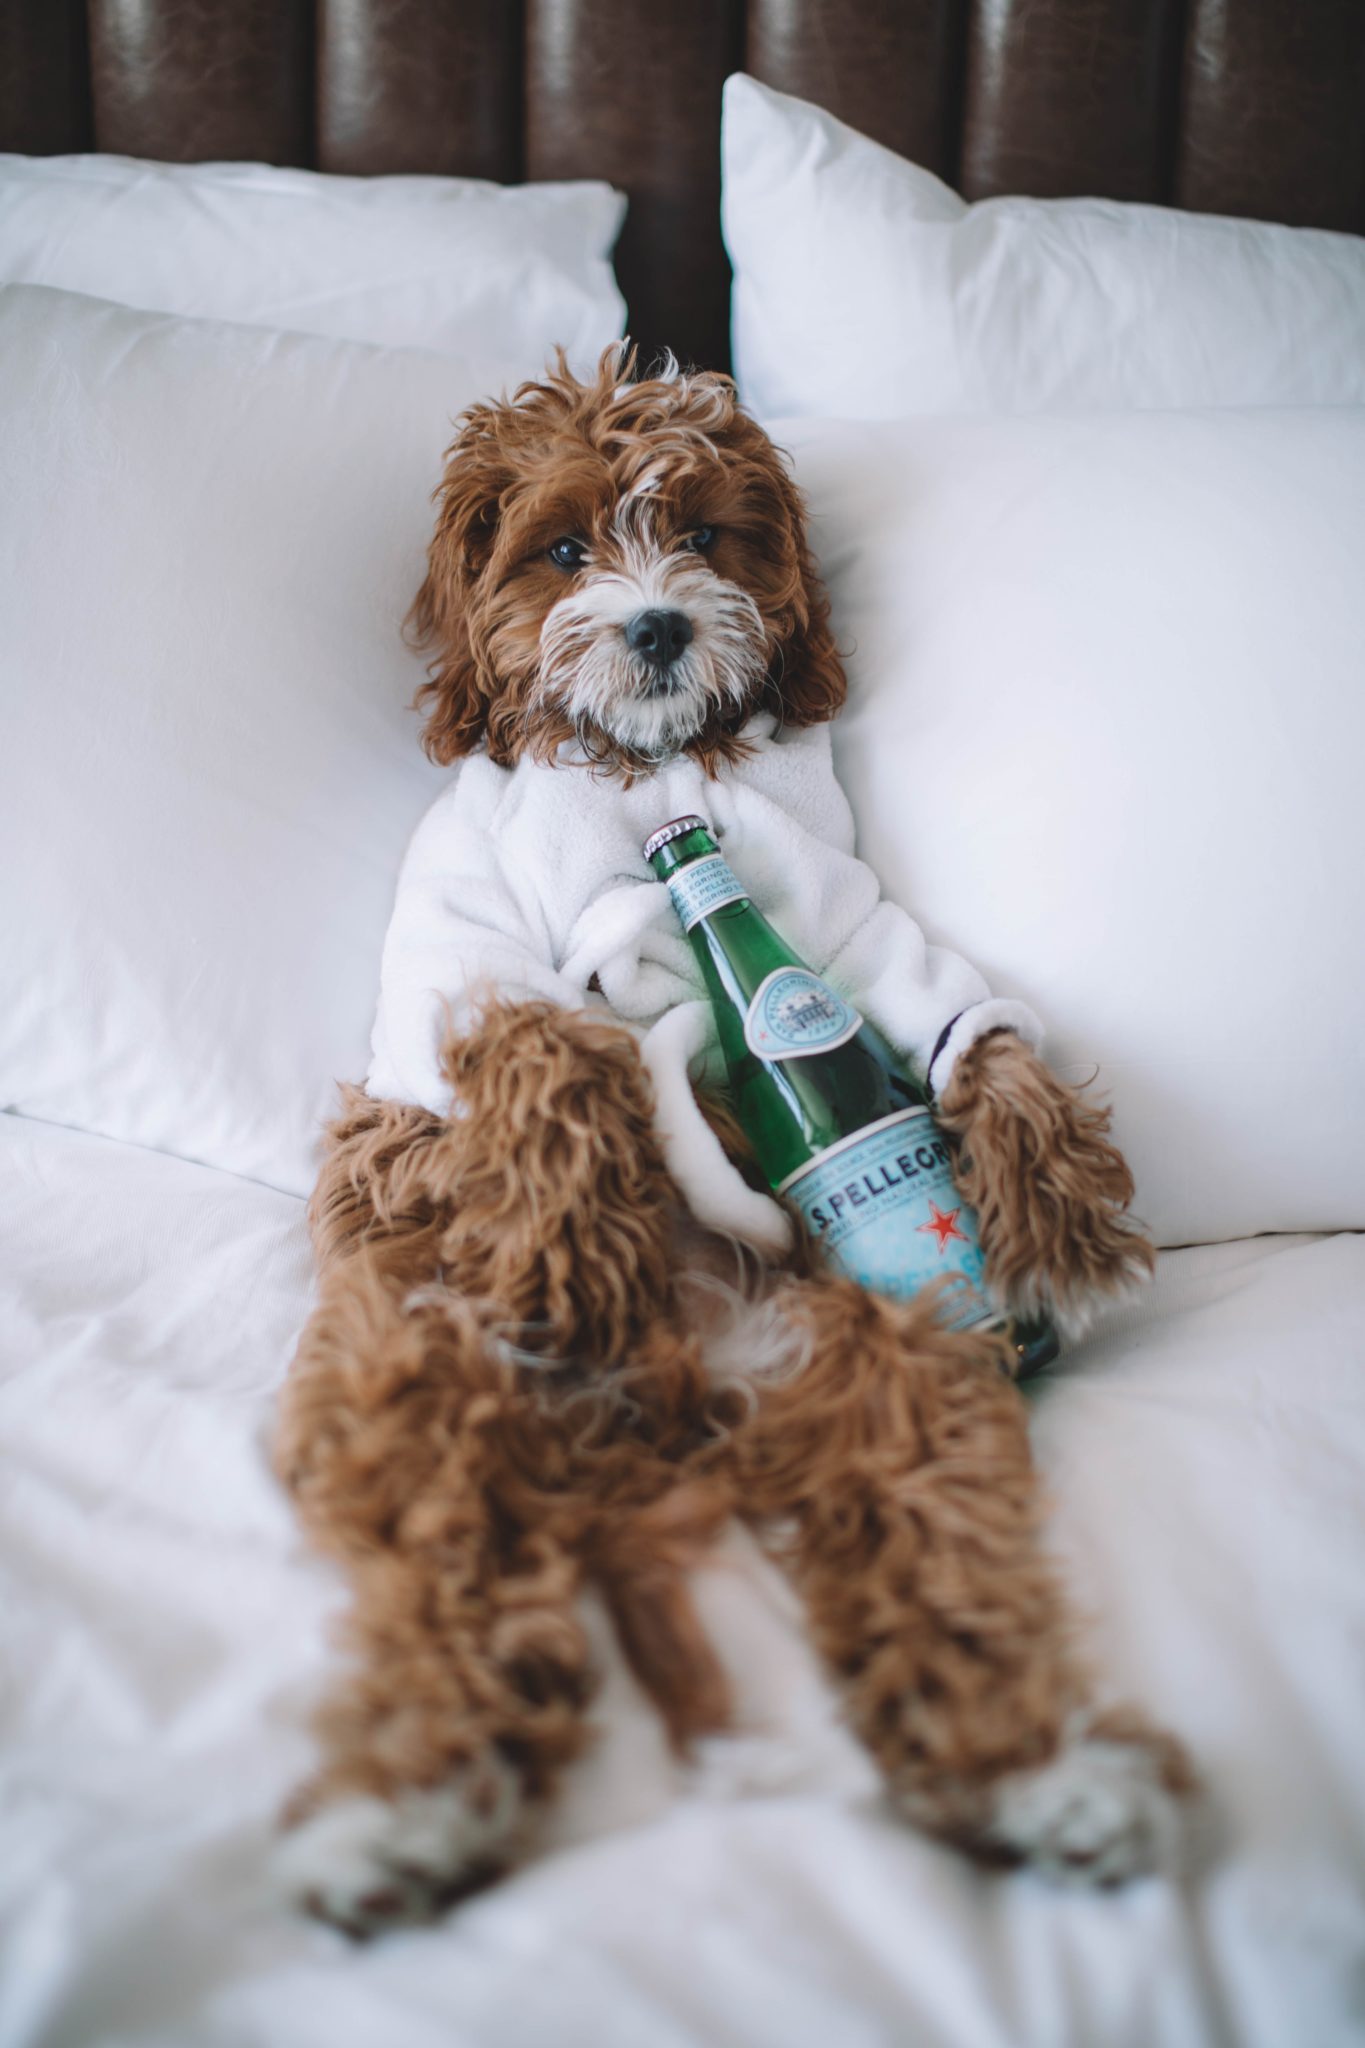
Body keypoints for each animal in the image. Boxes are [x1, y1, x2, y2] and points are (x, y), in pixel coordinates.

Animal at [272, 344, 1186, 1925]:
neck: (643, 775)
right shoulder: (455, 946)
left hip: (894, 1385)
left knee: (940, 1562)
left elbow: (953, 1018)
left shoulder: (845, 915)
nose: (654, 621)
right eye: (562, 548)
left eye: (702, 533)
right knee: (450, 1593)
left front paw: (1051, 1202)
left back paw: (1049, 1776)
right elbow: (535, 1038)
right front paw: (570, 1227)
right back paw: (401, 1811)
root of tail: (668, 1418)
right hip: (415, 1382)